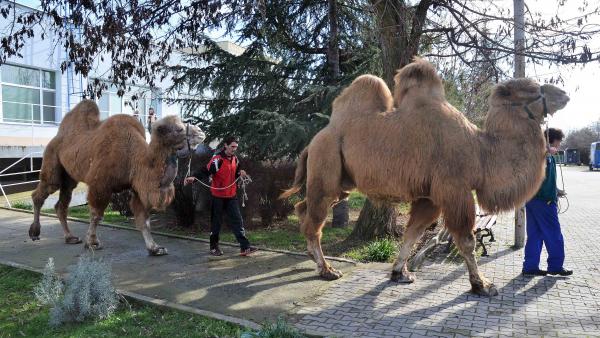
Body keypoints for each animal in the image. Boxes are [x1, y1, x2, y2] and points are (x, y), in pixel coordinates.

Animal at [28, 99, 206, 255]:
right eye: (178, 129)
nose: (201, 132)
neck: (134, 158)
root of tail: (57, 137)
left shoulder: (136, 188)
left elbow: (143, 221)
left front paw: (155, 248)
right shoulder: (100, 184)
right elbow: (96, 215)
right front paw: (92, 242)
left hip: (69, 178)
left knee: (61, 204)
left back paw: (70, 237)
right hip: (52, 161)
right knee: (41, 192)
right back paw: (35, 233)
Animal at [284, 58, 568, 296]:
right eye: (531, 89)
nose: (563, 95)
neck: (481, 152)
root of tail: (312, 142)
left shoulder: (429, 196)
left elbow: (413, 233)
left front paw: (400, 273)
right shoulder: (454, 188)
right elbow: (466, 240)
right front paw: (482, 285)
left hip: (341, 183)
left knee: (304, 208)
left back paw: (315, 260)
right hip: (326, 162)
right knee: (315, 220)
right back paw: (327, 270)